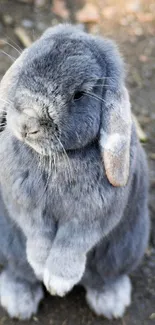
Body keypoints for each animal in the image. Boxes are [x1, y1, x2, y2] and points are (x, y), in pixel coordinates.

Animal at [0, 24, 149, 318]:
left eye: (79, 94)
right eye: (25, 68)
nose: (27, 124)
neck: (58, 157)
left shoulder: (89, 218)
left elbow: (71, 243)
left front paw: (58, 283)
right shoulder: (26, 207)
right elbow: (37, 234)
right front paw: (40, 267)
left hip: (127, 248)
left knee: (106, 277)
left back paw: (111, 303)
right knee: (19, 272)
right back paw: (19, 302)